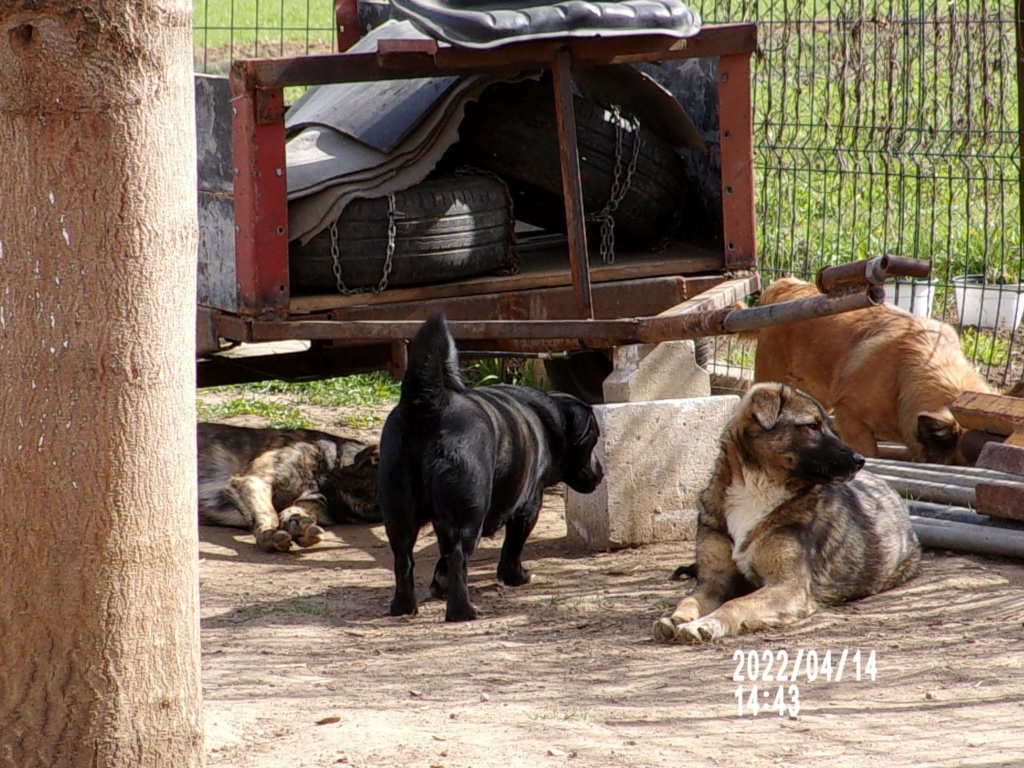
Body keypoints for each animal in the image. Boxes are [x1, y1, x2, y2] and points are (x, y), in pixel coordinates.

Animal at [380, 315, 602, 622]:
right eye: (594, 440)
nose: (601, 471)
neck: (548, 420)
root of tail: (428, 405)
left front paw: (439, 584)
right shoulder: (528, 506)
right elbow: (512, 548)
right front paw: (516, 576)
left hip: (399, 511)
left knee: (404, 558)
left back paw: (403, 606)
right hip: (467, 513)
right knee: (458, 555)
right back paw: (462, 610)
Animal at [655, 382, 921, 643]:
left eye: (831, 428)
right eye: (812, 426)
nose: (860, 460)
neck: (756, 487)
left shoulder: (789, 586)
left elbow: (735, 604)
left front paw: (706, 624)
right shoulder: (713, 581)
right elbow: (689, 599)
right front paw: (677, 618)